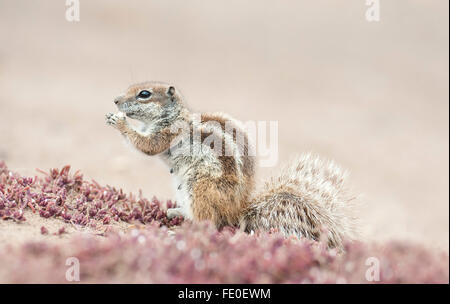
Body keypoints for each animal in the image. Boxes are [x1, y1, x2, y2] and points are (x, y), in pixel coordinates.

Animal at [106, 81, 358, 249]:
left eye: (144, 94)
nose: (116, 100)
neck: (174, 115)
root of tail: (238, 210)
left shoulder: (166, 133)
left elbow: (147, 145)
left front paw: (120, 122)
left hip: (199, 187)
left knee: (209, 222)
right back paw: (176, 211)